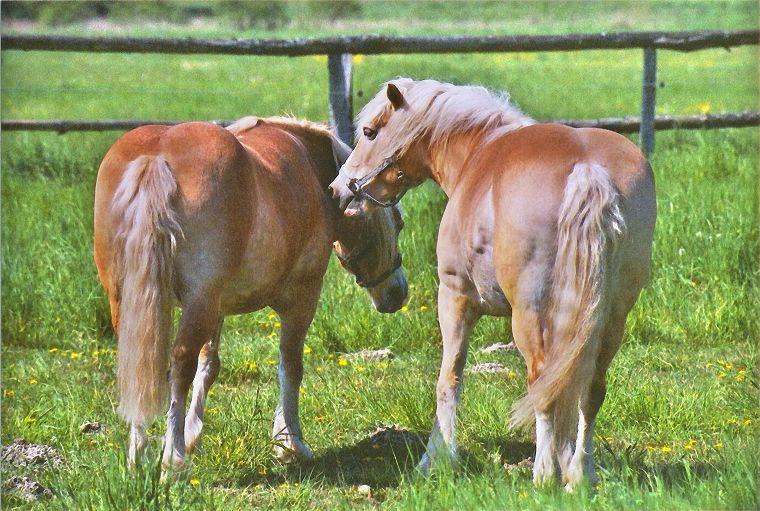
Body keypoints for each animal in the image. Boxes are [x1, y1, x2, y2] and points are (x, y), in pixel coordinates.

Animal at [93, 116, 410, 472]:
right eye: (398, 223)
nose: (398, 294)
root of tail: (157, 156)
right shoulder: (302, 299)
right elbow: (291, 366)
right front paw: (290, 443)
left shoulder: (216, 308)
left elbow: (209, 365)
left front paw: (192, 435)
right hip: (197, 304)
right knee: (179, 365)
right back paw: (173, 459)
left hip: (134, 302)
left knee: (140, 368)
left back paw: (139, 456)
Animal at [330, 78, 656, 490]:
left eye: (371, 131)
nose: (338, 188)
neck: (477, 153)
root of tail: (588, 169)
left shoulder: (454, 299)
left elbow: (449, 380)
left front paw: (435, 461)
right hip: (611, 314)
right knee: (590, 389)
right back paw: (579, 475)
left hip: (530, 316)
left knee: (542, 386)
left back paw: (543, 476)